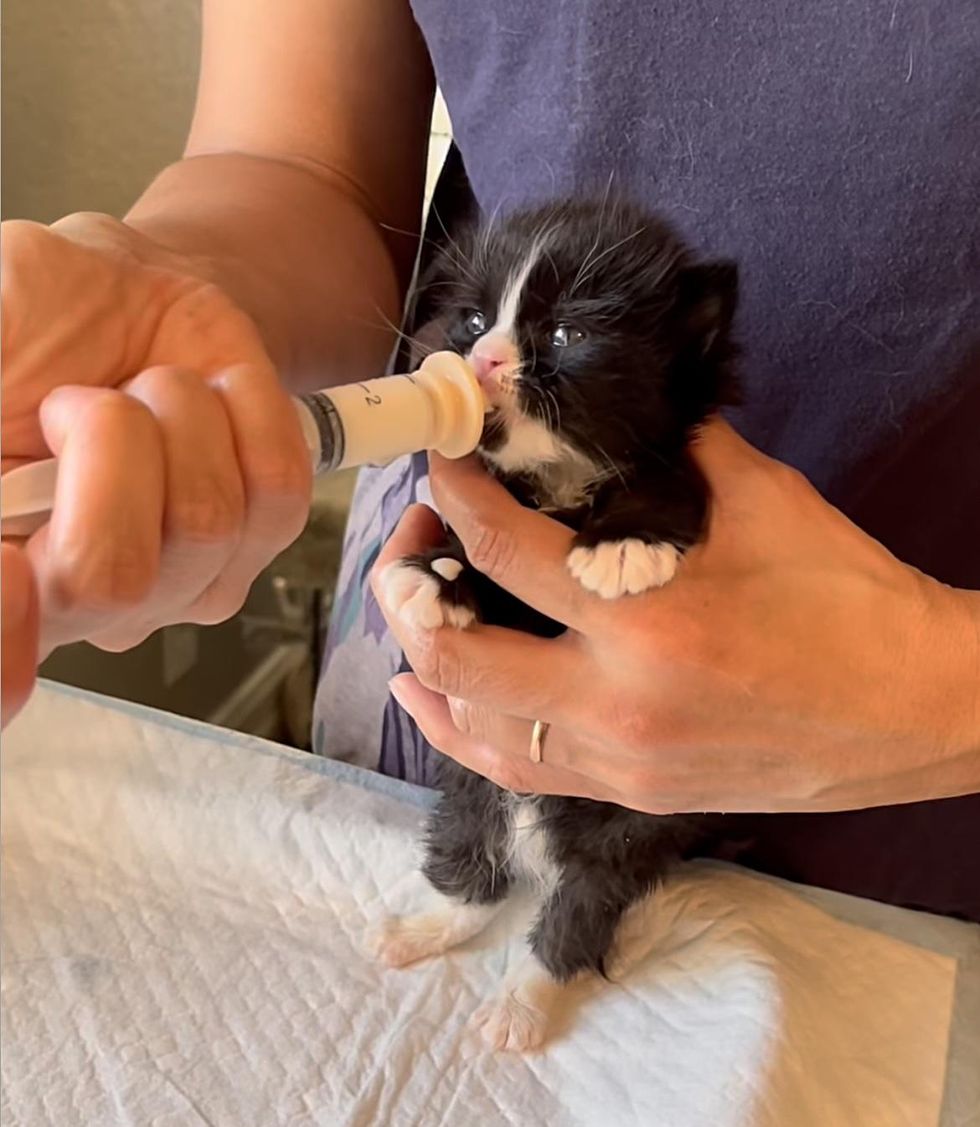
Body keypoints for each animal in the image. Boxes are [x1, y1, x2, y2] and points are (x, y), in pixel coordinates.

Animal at [371, 198, 738, 1050]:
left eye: (570, 333)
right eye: (474, 321)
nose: (483, 361)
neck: (558, 481)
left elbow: (671, 476)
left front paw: (626, 543)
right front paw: (438, 576)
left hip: (627, 830)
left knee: (581, 908)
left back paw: (524, 1000)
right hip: (474, 783)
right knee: (474, 861)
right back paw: (427, 927)